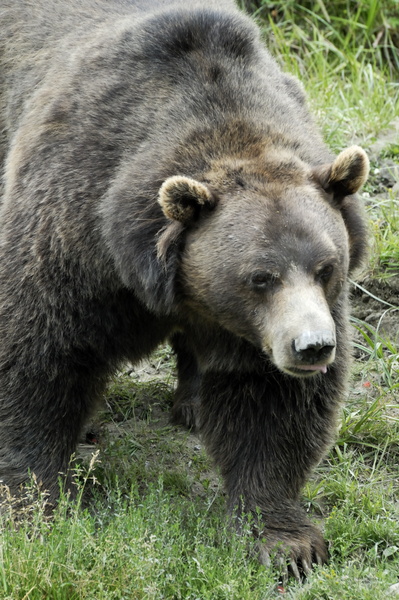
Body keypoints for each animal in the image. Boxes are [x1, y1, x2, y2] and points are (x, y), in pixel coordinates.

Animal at [0, 0, 370, 576]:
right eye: (260, 276)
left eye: (326, 266)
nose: (313, 347)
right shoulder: (74, 231)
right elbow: (41, 353)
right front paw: (33, 505)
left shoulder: (260, 332)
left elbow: (271, 405)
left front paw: (285, 542)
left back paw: (192, 405)